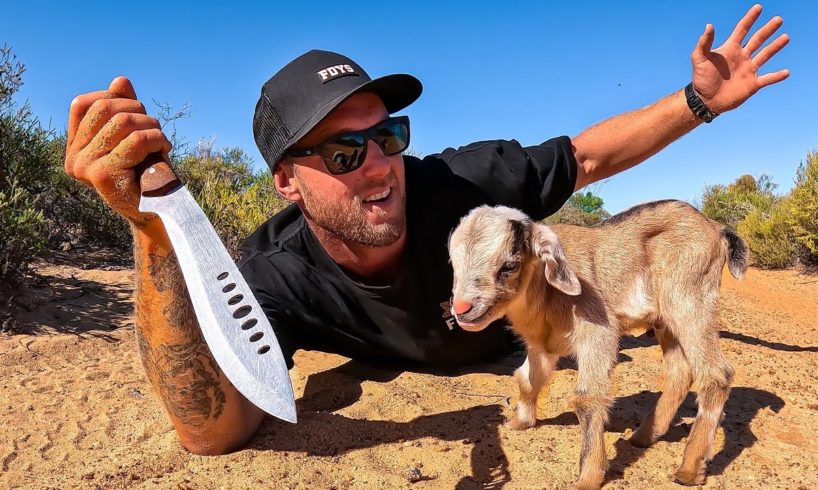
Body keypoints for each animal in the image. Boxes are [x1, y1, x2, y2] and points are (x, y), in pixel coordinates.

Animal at [447, 200, 747, 489]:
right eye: (453, 263)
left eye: (509, 265)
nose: (461, 309)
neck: (545, 289)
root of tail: (716, 227)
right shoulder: (540, 345)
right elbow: (527, 379)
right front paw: (520, 421)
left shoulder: (598, 330)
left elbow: (587, 398)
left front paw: (588, 477)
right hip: (666, 319)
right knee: (680, 371)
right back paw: (645, 435)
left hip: (690, 300)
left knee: (716, 374)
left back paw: (689, 469)